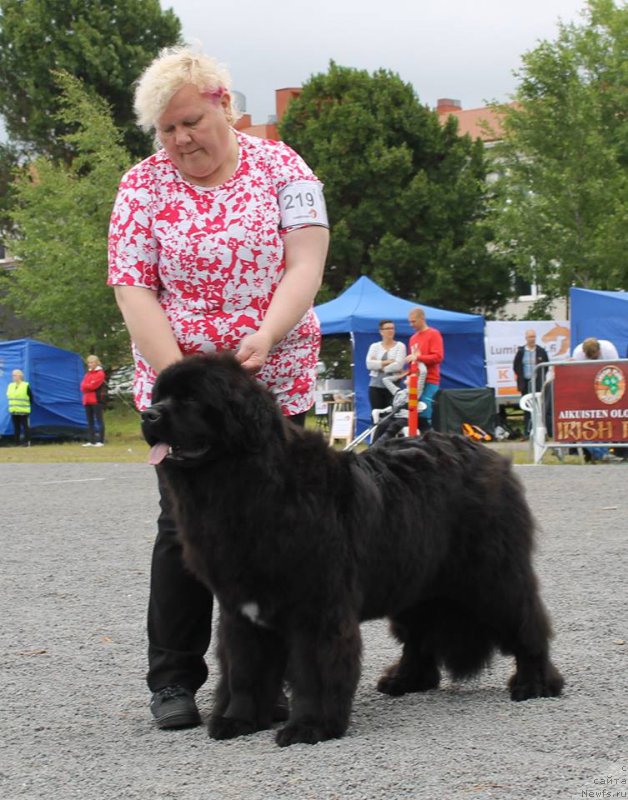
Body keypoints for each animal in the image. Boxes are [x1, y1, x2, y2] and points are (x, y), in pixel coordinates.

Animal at [144, 354, 564, 748]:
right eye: (160, 395)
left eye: (191, 398)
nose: (148, 414)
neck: (248, 486)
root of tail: (484, 453)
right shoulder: (241, 609)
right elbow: (244, 669)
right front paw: (238, 720)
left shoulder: (316, 607)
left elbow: (313, 670)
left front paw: (309, 726)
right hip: (415, 581)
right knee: (420, 634)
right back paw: (406, 679)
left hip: (490, 577)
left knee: (526, 622)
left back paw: (535, 683)